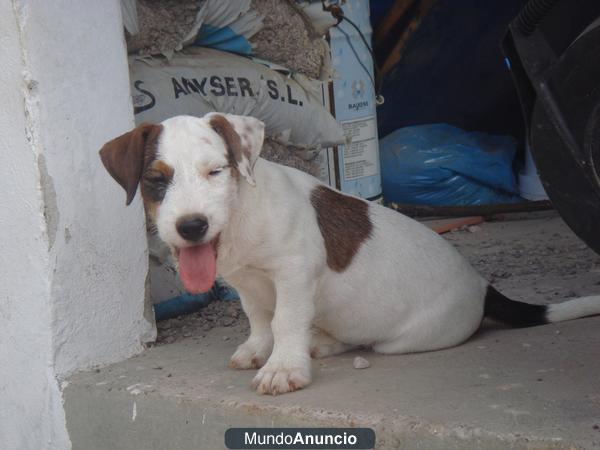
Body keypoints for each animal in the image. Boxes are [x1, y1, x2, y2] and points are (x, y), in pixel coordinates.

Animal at [101, 114, 600, 396]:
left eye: (216, 171)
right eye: (156, 180)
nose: (191, 227)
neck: (243, 213)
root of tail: (483, 286)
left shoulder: (294, 274)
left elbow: (285, 320)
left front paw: (284, 366)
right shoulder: (247, 283)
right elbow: (260, 319)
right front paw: (260, 349)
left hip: (404, 340)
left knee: (367, 340)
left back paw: (317, 344)